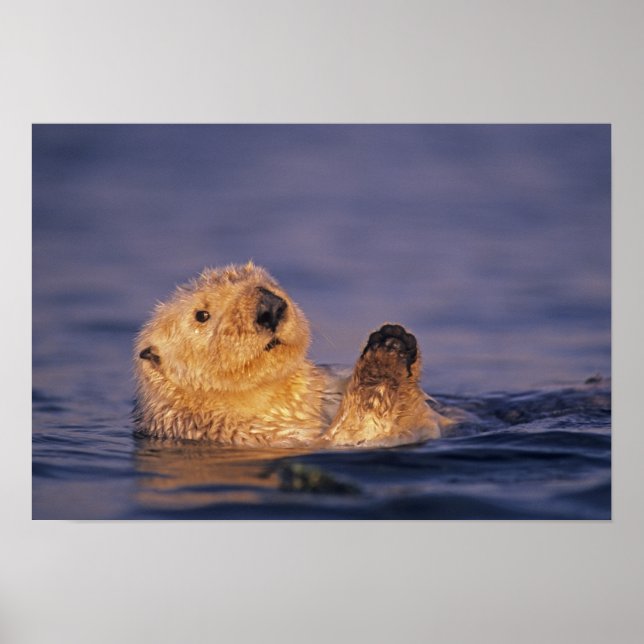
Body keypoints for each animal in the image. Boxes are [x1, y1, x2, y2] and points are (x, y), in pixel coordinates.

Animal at [133, 262, 452, 447]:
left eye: (268, 284)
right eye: (201, 315)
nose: (269, 307)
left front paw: (395, 336)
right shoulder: (259, 435)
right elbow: (362, 432)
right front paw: (386, 354)